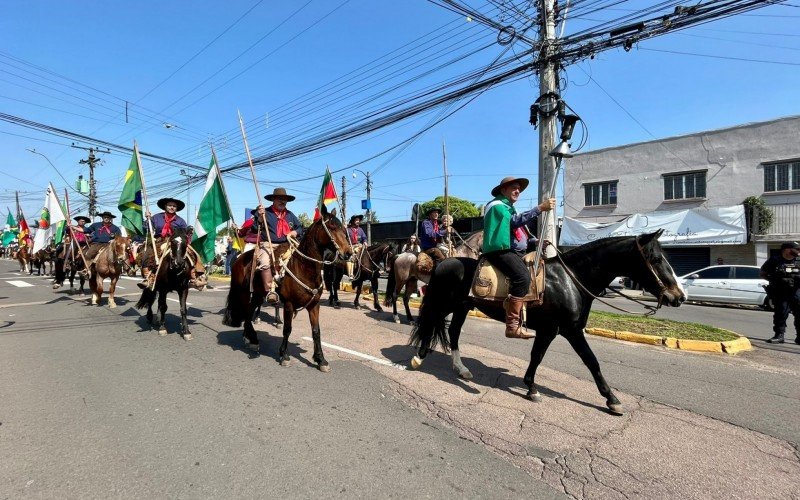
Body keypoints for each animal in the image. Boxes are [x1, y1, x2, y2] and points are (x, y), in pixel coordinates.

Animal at [223, 207, 352, 372]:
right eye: (331, 227)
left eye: (343, 228)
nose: (348, 253)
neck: (304, 267)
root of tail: (239, 259)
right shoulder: (289, 305)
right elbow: (287, 329)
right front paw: (284, 355)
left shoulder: (314, 305)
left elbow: (316, 331)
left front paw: (321, 359)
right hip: (243, 293)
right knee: (246, 312)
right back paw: (251, 338)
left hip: (258, 295)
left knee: (249, 311)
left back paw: (251, 339)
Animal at [410, 230, 684, 414]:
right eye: (656, 259)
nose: (679, 296)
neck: (570, 280)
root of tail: (444, 261)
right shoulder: (558, 330)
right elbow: (566, 358)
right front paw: (533, 388)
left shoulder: (567, 330)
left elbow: (581, 360)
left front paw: (611, 399)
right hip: (445, 304)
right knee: (431, 324)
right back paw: (419, 357)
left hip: (462, 307)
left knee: (454, 332)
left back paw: (461, 369)